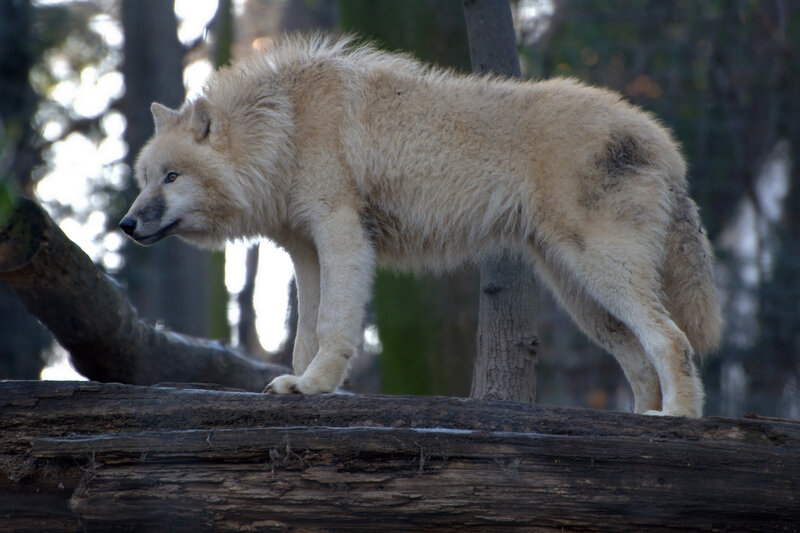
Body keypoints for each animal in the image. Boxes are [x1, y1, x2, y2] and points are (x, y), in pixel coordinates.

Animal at [120, 34, 722, 417]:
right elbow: (304, 335)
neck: (283, 128)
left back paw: (676, 420)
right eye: (145, 178)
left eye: (172, 177)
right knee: (641, 358)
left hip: (601, 273)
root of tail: (663, 141)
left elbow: (332, 328)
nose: (125, 223)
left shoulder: (342, 236)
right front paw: (301, 384)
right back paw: (641, 419)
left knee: (672, 341)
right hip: (583, 296)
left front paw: (314, 388)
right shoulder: (306, 253)